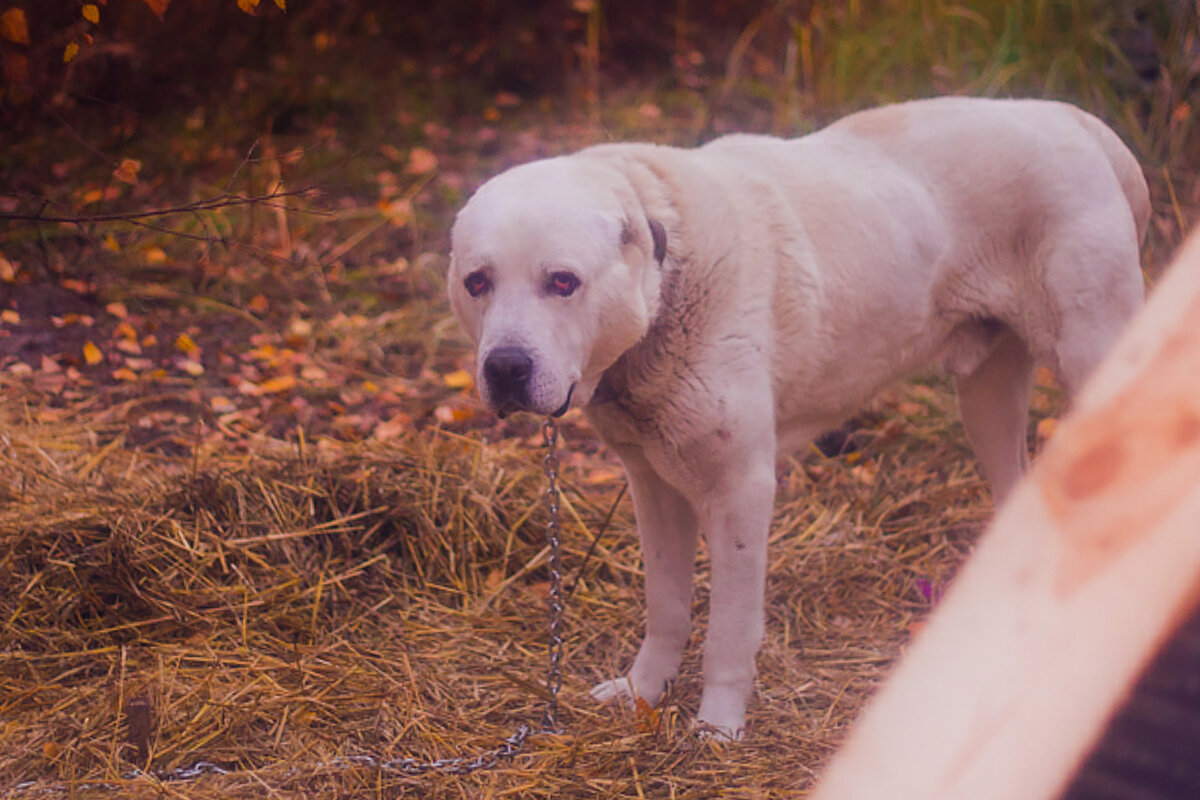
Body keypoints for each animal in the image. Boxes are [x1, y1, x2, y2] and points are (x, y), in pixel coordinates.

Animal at [446, 98, 1147, 738]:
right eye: (478, 282)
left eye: (563, 282)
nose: (505, 367)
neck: (668, 277)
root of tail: (1072, 116)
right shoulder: (652, 488)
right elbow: (667, 605)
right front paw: (644, 693)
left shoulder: (740, 491)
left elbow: (729, 630)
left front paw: (717, 730)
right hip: (987, 395)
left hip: (1090, 356)